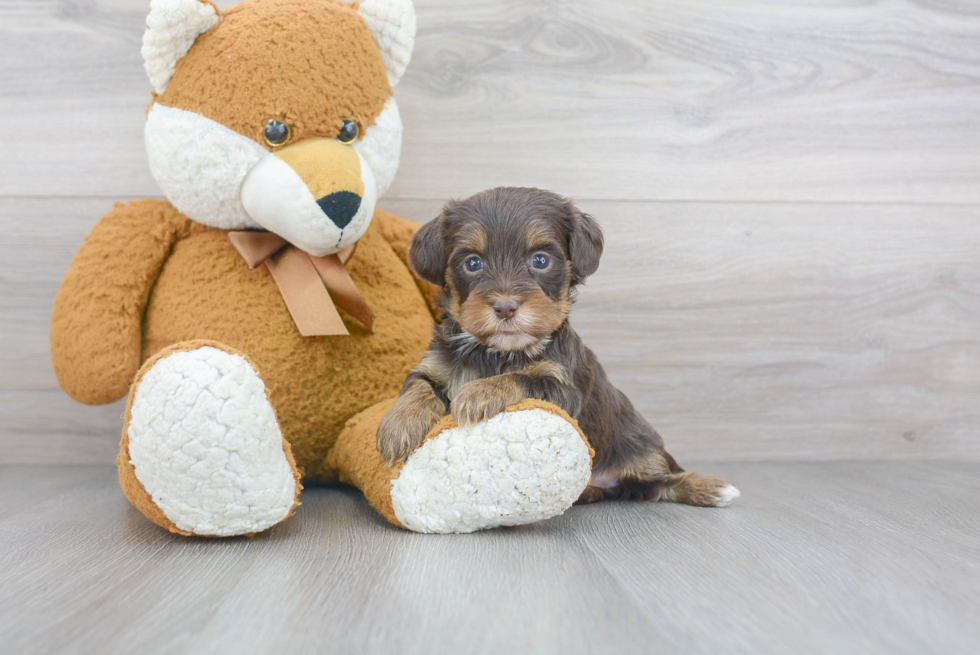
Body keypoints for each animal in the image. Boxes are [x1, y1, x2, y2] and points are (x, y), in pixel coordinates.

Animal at [378, 188, 740, 508]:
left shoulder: (563, 386)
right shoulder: (432, 366)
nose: (505, 307)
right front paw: (397, 427)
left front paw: (479, 392)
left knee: (664, 483)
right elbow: (417, 387)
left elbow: (520, 379)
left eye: (540, 260)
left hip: (642, 451)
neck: (497, 352)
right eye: (472, 263)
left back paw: (712, 488)